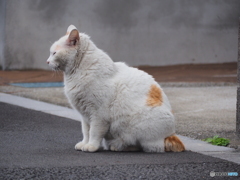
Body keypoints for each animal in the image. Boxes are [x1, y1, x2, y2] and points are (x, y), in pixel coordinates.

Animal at [47, 24, 186, 153]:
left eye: (54, 53)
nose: (47, 61)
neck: (77, 72)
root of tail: (172, 134)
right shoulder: (84, 116)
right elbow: (86, 132)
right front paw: (84, 143)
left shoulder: (98, 115)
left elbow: (94, 132)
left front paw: (91, 146)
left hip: (139, 126)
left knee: (147, 146)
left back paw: (123, 147)